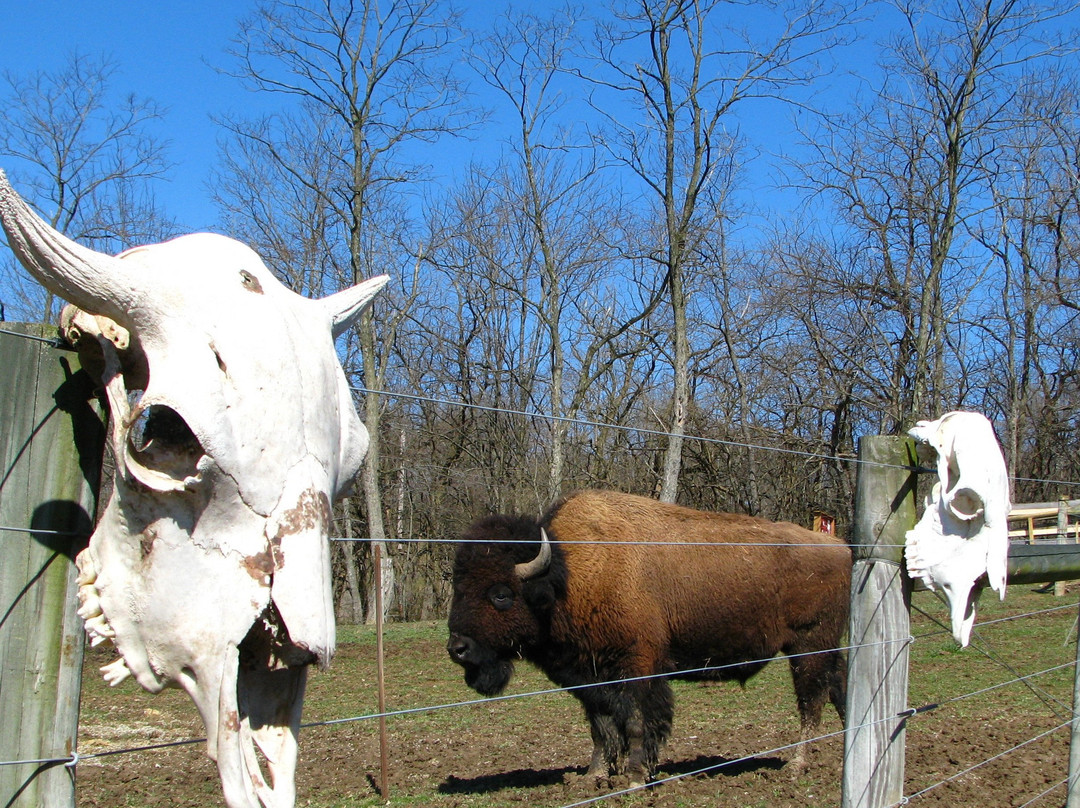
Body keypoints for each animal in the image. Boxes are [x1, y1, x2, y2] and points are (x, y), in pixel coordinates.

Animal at [447, 488, 851, 786]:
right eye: (458, 587)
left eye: (501, 593)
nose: (458, 648)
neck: (567, 573)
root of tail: (840, 547)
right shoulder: (588, 676)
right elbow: (601, 727)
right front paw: (593, 776)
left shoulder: (638, 666)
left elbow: (638, 722)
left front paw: (636, 776)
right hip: (828, 647)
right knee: (839, 688)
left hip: (808, 646)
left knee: (811, 701)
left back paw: (796, 766)